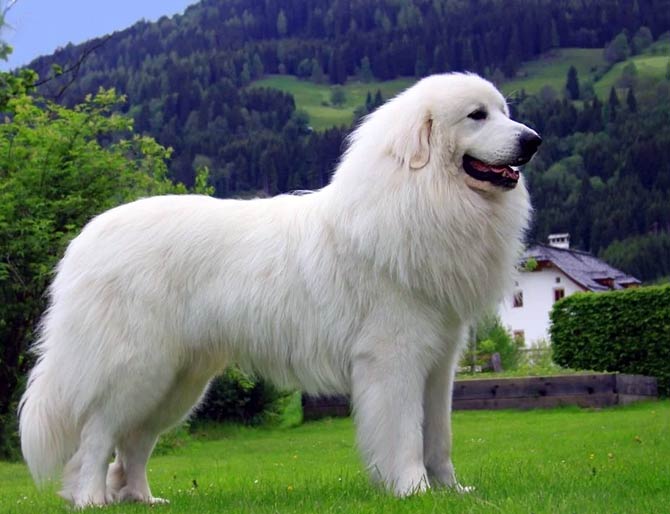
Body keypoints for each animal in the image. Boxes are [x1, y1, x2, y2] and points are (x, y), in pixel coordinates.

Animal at [19, 72, 540, 504]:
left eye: (504, 111)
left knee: (132, 444)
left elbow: (440, 437)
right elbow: (405, 436)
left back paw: (143, 499)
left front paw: (452, 492)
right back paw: (90, 499)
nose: (533, 141)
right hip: (136, 370)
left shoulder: (440, 364)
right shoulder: (394, 360)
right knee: (95, 438)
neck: (422, 195)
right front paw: (412, 490)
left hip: (177, 384)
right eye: (477, 115)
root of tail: (85, 240)